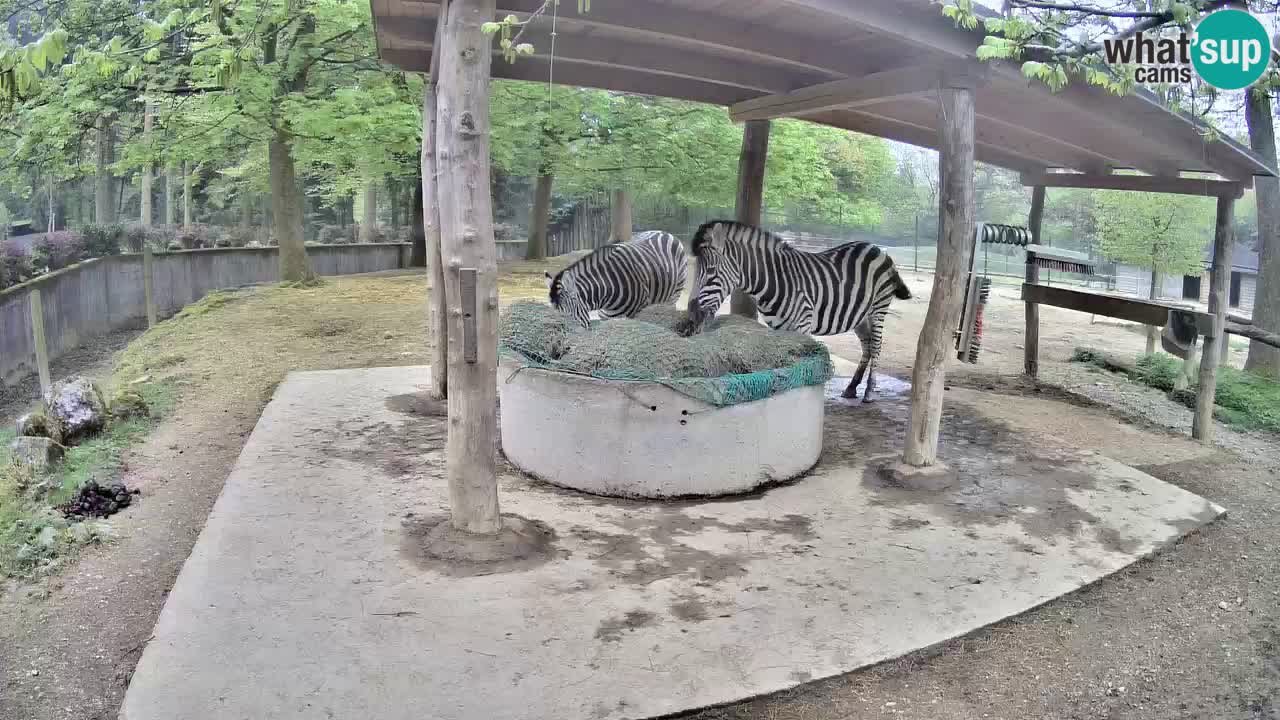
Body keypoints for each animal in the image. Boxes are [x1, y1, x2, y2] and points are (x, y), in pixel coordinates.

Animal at [685, 220, 911, 402]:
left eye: (711, 272)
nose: (692, 317)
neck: (776, 281)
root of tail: (877, 249)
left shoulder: (802, 325)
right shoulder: (778, 328)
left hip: (878, 309)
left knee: (876, 346)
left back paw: (869, 392)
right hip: (860, 316)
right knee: (867, 347)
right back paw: (851, 387)